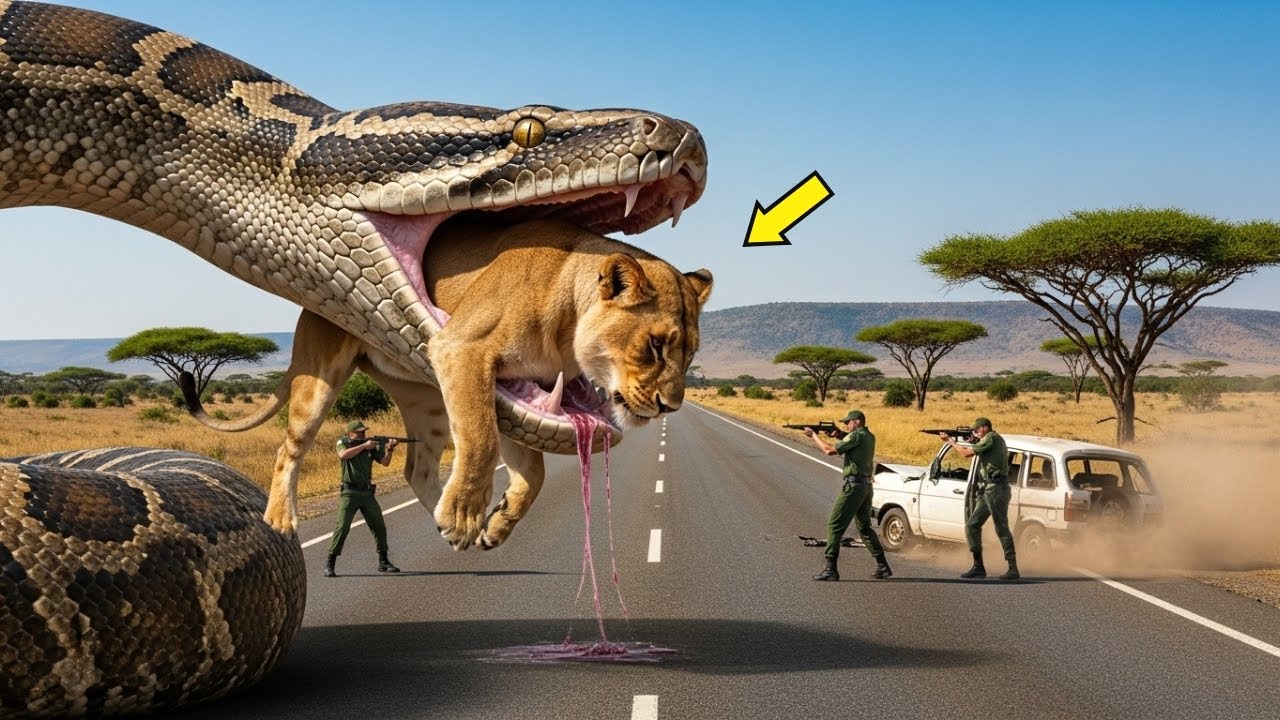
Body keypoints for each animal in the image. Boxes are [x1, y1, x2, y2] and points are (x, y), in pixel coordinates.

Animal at [182, 218, 712, 550]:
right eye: (655, 346)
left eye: (690, 353)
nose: (670, 405)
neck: (566, 328)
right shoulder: (464, 348)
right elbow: (480, 438)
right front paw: (464, 517)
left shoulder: (522, 389)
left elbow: (533, 470)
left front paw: (494, 524)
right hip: (321, 378)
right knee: (288, 448)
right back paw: (281, 519)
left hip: (429, 401)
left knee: (417, 465)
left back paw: (443, 512)